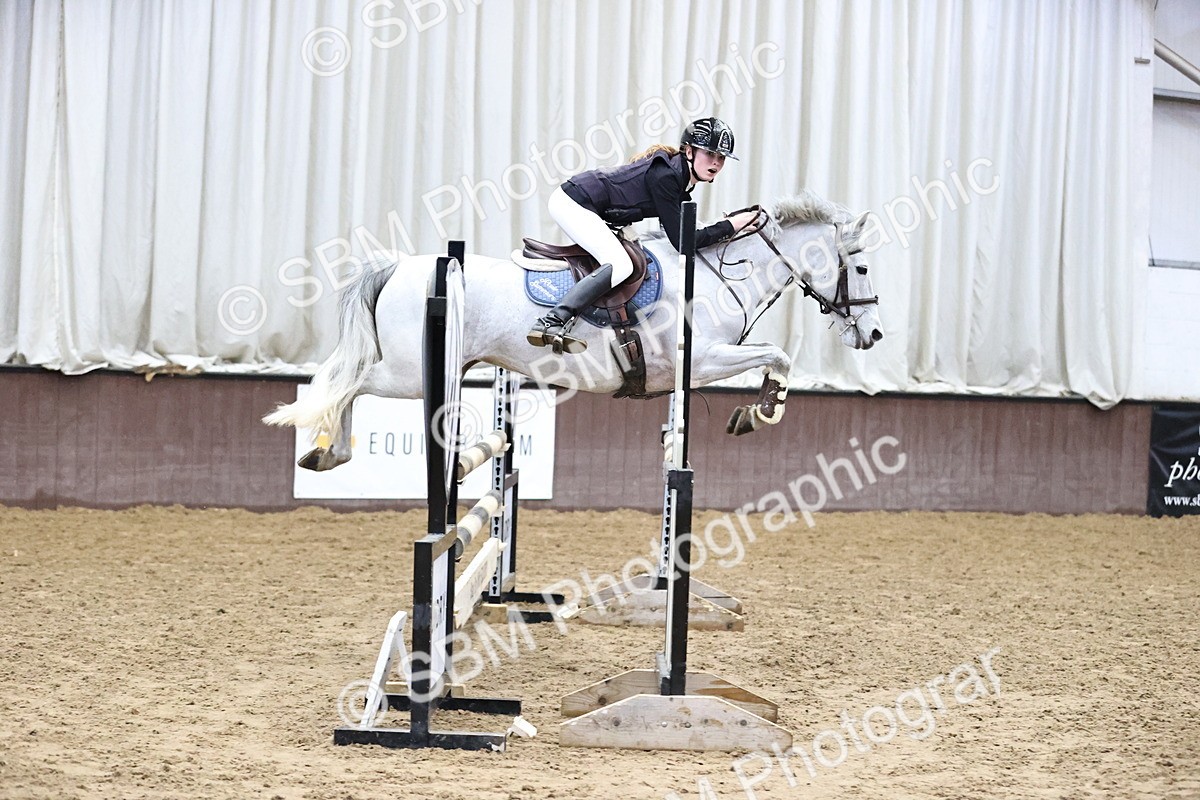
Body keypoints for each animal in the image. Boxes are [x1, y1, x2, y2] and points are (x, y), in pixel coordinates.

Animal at [263, 189, 884, 471]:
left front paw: (755, 412)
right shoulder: (702, 359)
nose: (874, 336)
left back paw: (325, 453)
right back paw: (329, 452)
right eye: (862, 268)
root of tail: (400, 265)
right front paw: (761, 413)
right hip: (409, 374)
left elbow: (775, 358)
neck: (715, 274)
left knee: (346, 382)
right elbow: (777, 354)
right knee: (347, 384)